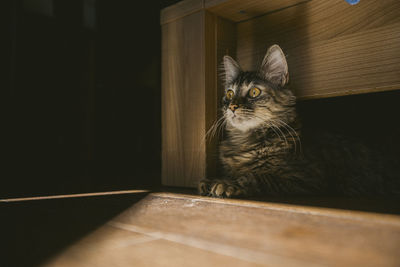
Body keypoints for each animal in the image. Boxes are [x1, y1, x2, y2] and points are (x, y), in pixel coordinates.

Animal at [198, 44, 398, 199]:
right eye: (229, 94)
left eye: (254, 92)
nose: (232, 106)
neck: (245, 140)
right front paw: (209, 181)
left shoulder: (304, 177)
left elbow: (256, 176)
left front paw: (227, 184)